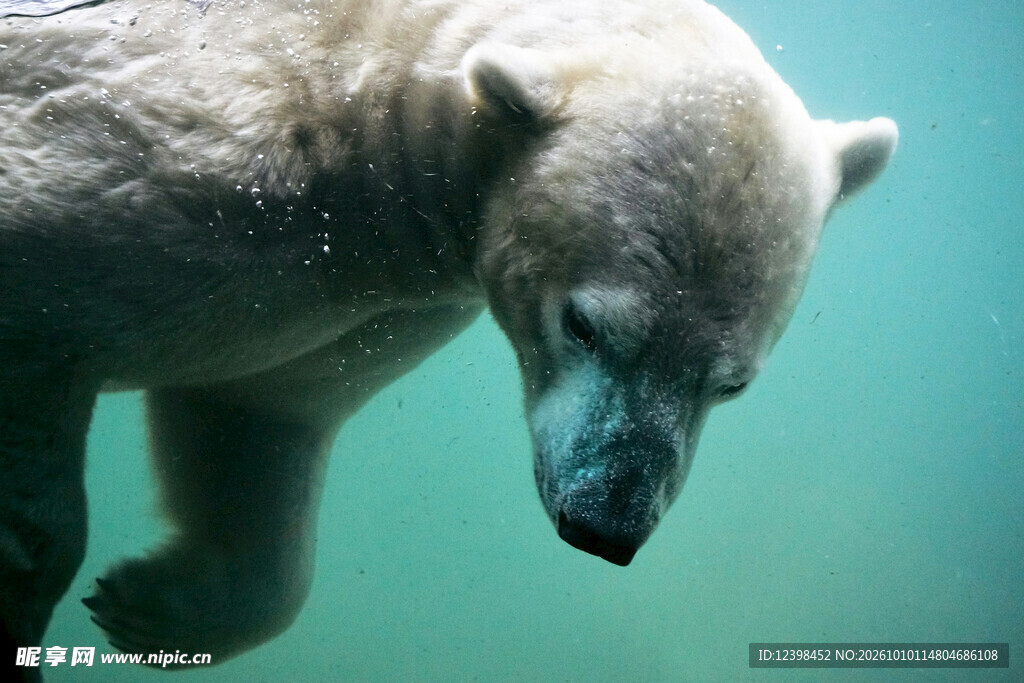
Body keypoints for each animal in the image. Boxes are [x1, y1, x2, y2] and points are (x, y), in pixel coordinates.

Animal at [0, 0, 897, 674]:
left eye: (731, 382)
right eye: (582, 324)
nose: (604, 524)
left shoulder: (364, 300)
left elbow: (259, 407)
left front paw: (152, 604)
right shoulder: (193, 159)